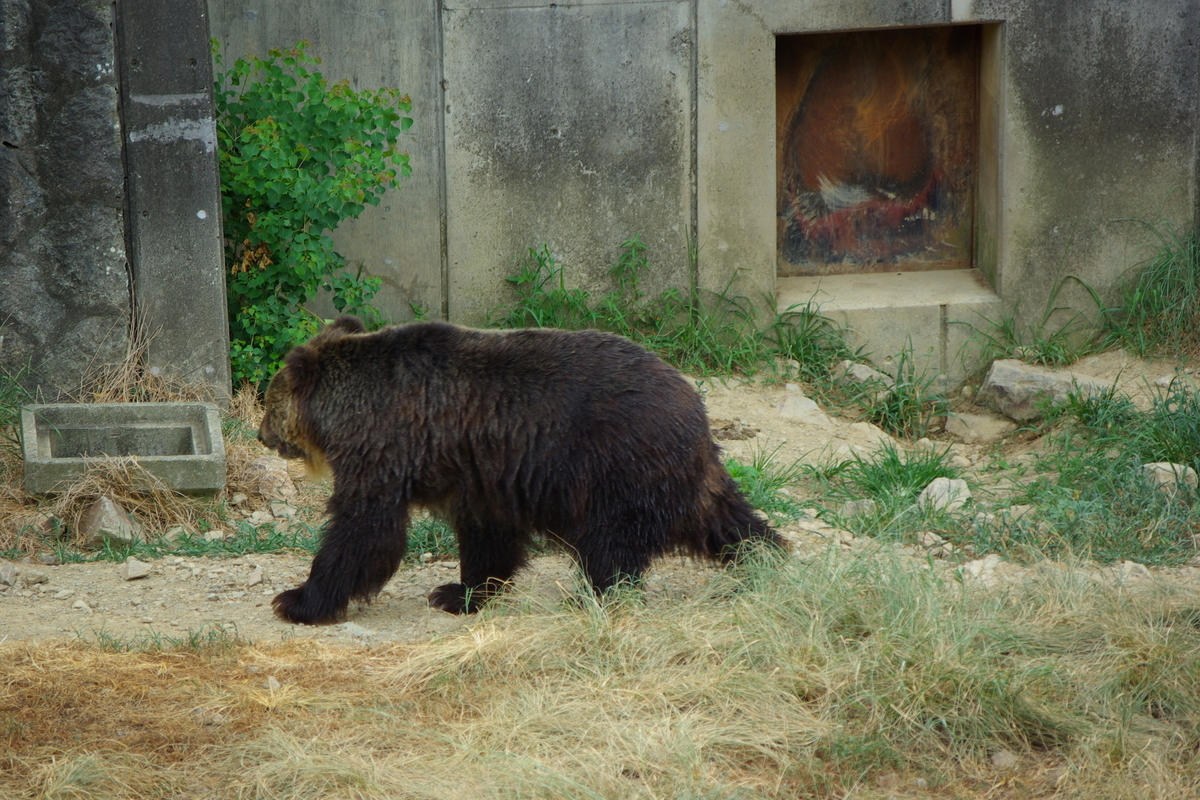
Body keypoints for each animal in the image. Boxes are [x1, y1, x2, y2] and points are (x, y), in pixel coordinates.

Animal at [258, 314, 782, 623]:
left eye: (267, 402)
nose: (261, 435)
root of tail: (696, 405)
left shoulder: (386, 450)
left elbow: (363, 532)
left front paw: (297, 599)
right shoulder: (480, 470)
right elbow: (487, 535)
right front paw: (459, 592)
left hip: (615, 462)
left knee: (611, 542)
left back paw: (591, 595)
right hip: (679, 473)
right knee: (724, 519)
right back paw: (768, 559)